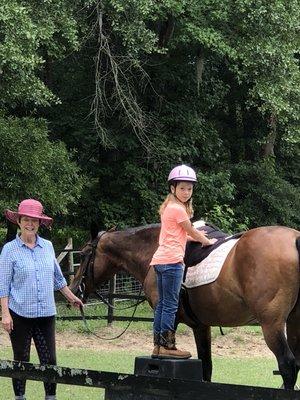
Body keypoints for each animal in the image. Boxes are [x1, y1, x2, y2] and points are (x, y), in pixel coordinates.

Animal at [69, 223, 300, 390]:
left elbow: (164, 337)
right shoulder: (201, 326)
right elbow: (206, 367)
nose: (73, 290)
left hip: (271, 324)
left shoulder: (166, 311)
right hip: (293, 324)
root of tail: (295, 238)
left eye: (83, 254)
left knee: (287, 365)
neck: (155, 250)